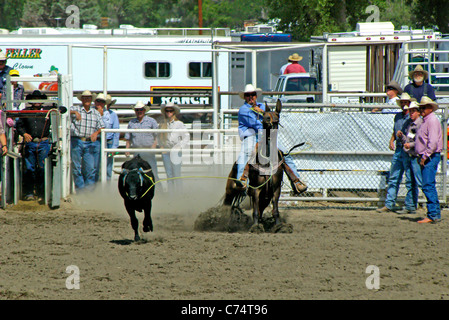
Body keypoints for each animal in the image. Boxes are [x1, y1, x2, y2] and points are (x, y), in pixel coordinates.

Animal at [224, 100, 284, 230]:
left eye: (276, 118)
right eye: (265, 117)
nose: (266, 121)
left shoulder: (276, 189)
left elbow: (275, 209)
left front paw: (279, 226)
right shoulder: (256, 189)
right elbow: (255, 211)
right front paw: (256, 227)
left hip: (266, 196)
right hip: (230, 188)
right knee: (227, 202)